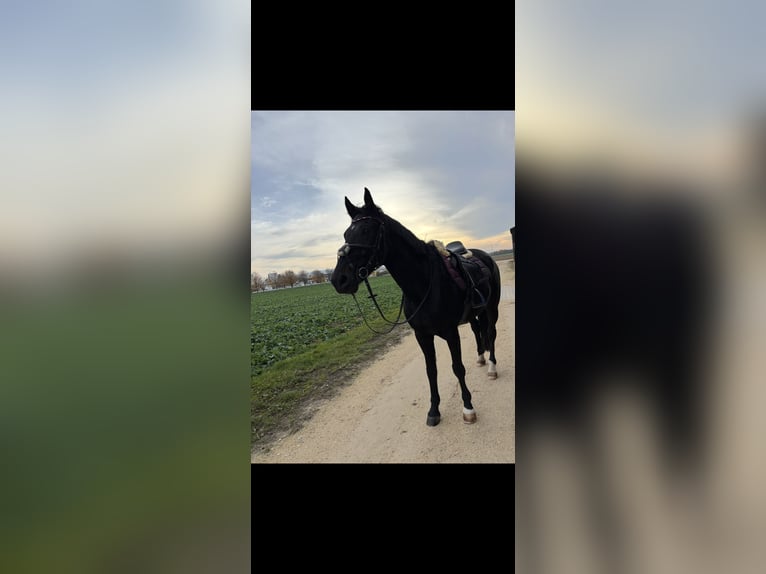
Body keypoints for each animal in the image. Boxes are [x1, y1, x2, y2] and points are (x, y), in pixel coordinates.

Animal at [330, 187, 502, 426]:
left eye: (366, 230)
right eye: (347, 234)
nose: (339, 280)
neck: (424, 283)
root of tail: (485, 256)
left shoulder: (451, 333)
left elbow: (457, 368)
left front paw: (468, 408)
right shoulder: (422, 335)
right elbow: (431, 370)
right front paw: (434, 410)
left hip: (492, 308)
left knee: (491, 333)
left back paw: (492, 368)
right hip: (473, 314)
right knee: (478, 330)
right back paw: (480, 358)